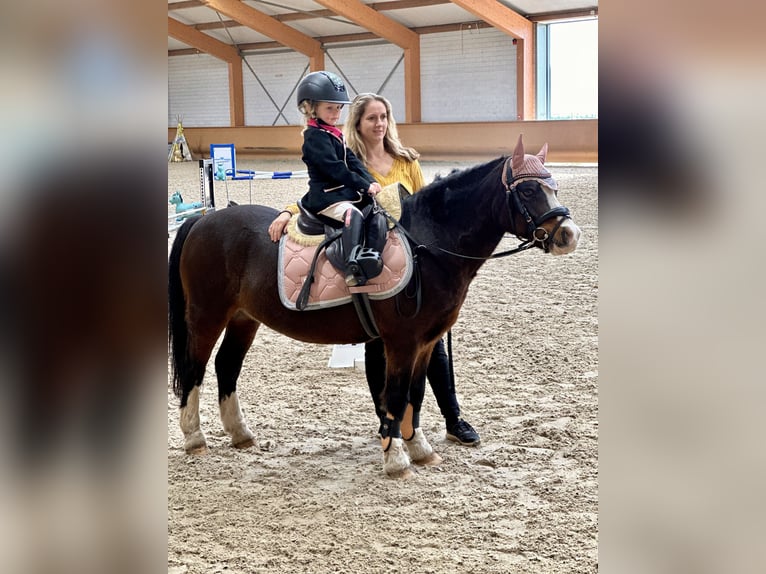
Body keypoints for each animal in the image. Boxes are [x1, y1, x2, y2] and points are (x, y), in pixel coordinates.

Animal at [168, 136, 581, 477]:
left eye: (553, 186)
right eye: (527, 189)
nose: (568, 235)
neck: (427, 245)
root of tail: (203, 221)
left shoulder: (426, 343)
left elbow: (415, 395)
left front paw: (419, 449)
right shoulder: (402, 342)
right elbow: (396, 395)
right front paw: (397, 459)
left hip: (243, 318)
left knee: (226, 366)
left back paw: (240, 434)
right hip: (206, 316)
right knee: (194, 368)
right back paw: (195, 438)